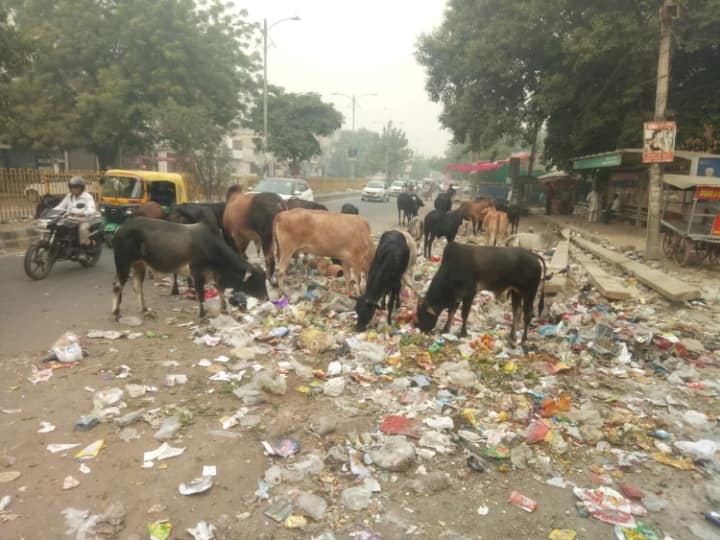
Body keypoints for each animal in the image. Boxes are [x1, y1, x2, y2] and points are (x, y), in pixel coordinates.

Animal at [111, 217, 268, 320]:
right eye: (257, 280)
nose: (267, 298)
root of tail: (121, 227)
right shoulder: (197, 272)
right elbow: (201, 294)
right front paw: (202, 315)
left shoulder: (215, 275)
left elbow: (221, 290)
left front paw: (223, 309)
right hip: (123, 262)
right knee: (118, 286)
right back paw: (116, 312)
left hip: (139, 264)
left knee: (137, 286)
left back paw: (145, 310)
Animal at [416, 244, 544, 344]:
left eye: (423, 314)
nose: (420, 329)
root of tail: (533, 256)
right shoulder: (456, 296)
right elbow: (451, 313)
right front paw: (445, 329)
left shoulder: (469, 293)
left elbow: (464, 314)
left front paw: (463, 333)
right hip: (516, 292)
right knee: (516, 313)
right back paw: (512, 336)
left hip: (529, 292)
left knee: (527, 315)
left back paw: (523, 339)